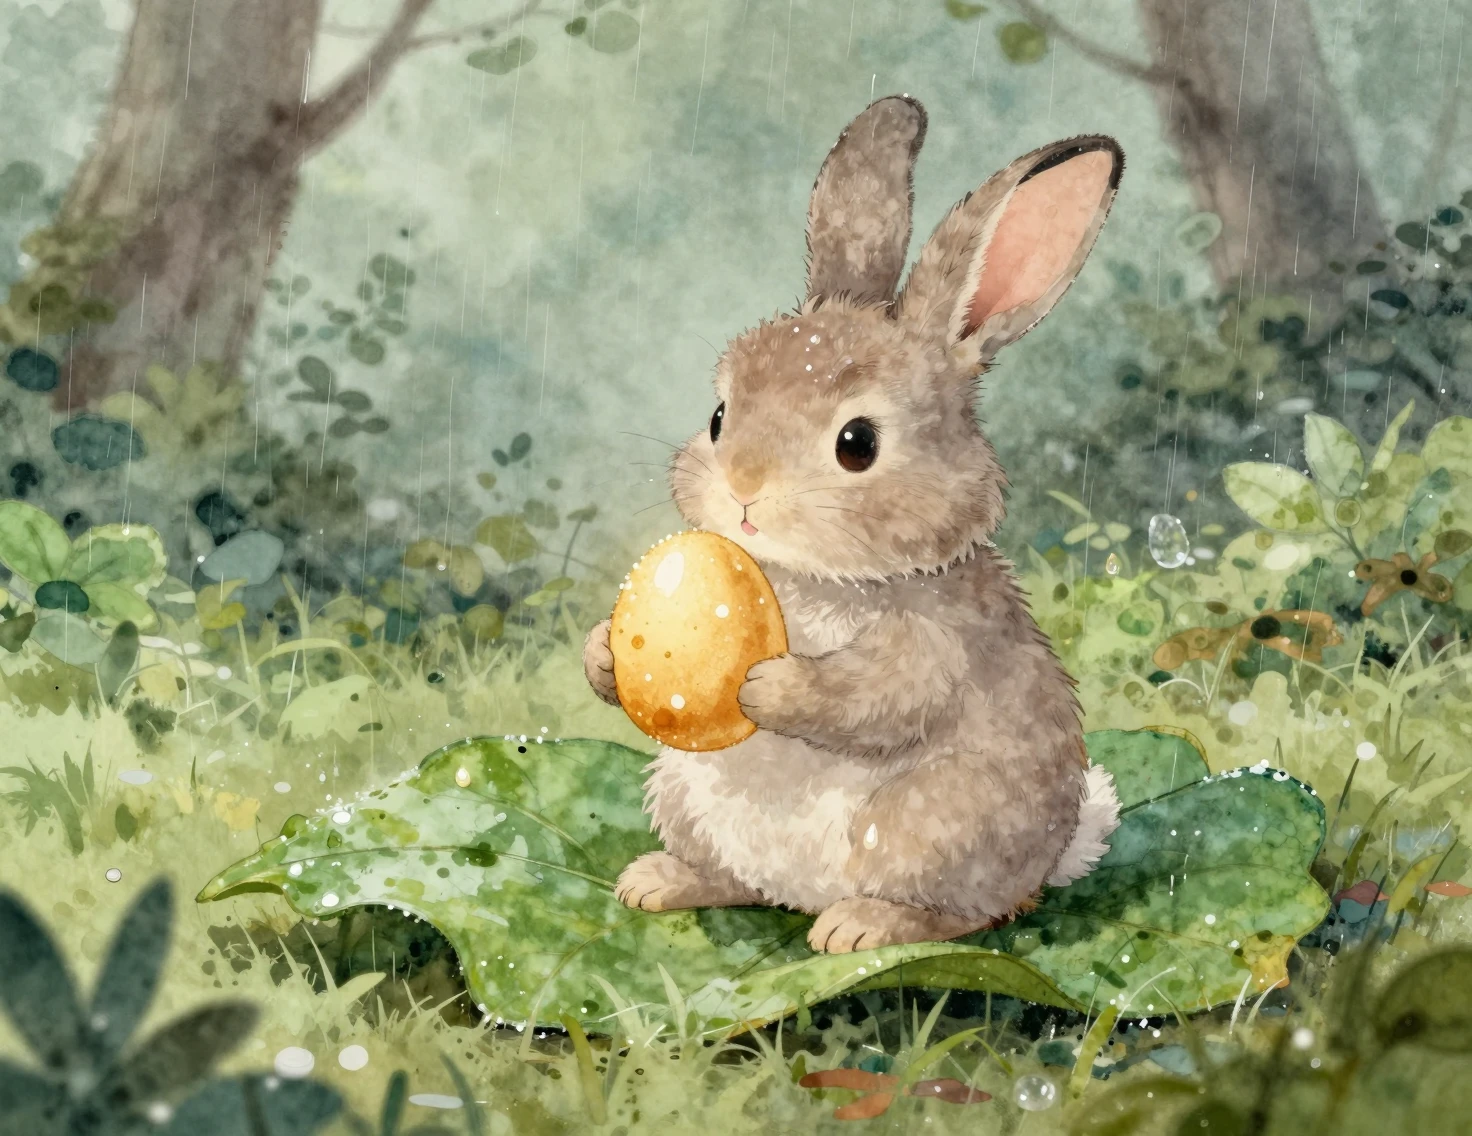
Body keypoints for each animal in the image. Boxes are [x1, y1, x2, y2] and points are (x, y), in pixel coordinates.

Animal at [584, 95, 1124, 954]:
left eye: (857, 444)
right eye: (719, 417)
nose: (743, 491)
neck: (809, 578)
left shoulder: (933, 647)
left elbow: (874, 698)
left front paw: (765, 683)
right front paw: (604, 654)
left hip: (933, 822)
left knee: (963, 916)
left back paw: (859, 927)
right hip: (681, 790)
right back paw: (659, 882)